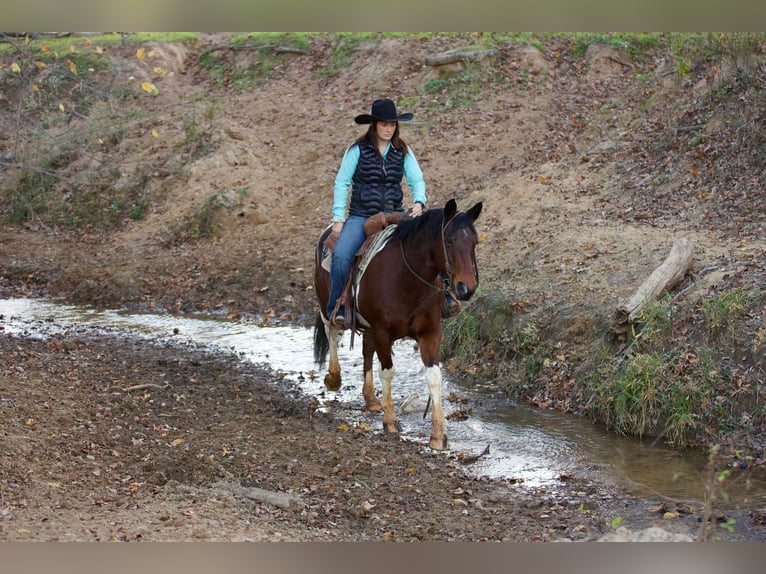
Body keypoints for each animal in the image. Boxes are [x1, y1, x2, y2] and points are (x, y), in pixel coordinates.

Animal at [314, 200, 484, 452]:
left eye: (474, 241)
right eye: (450, 240)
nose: (467, 288)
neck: (406, 278)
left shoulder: (430, 332)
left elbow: (434, 377)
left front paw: (438, 436)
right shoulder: (382, 331)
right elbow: (388, 372)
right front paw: (391, 422)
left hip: (369, 327)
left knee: (366, 350)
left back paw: (371, 400)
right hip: (328, 304)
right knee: (331, 331)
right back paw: (334, 378)